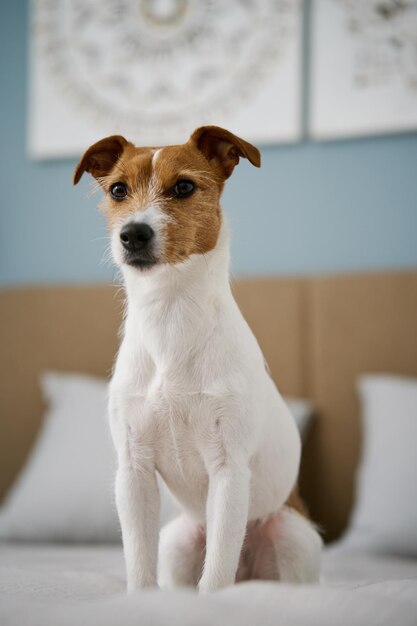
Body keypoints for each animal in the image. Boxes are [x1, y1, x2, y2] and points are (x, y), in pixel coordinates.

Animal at [74, 125, 322, 588]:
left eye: (184, 187)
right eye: (118, 190)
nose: (133, 233)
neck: (169, 313)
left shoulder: (228, 470)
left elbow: (216, 577)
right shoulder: (133, 473)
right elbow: (140, 568)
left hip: (293, 534)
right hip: (179, 541)